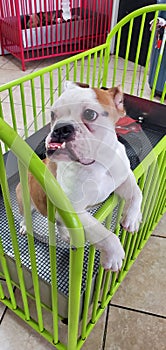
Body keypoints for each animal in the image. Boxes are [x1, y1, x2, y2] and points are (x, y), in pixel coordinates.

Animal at [16, 81, 142, 270]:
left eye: (90, 114)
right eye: (52, 114)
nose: (60, 128)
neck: (98, 163)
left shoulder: (124, 177)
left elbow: (137, 193)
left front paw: (133, 217)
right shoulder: (74, 211)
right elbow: (102, 232)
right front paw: (114, 254)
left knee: (58, 221)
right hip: (24, 200)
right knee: (26, 216)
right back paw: (25, 227)